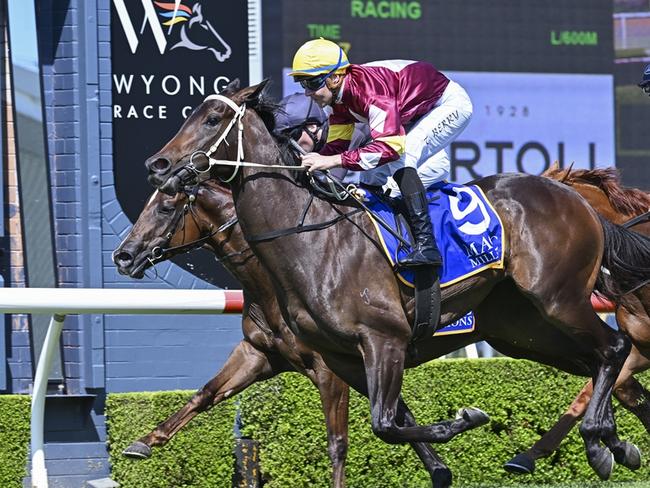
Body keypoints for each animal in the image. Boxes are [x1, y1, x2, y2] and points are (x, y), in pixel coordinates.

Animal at [142, 80, 650, 480]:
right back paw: (610, 445)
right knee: (604, 366)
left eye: (212, 119)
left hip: (558, 299)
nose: (158, 164)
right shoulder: (340, 357)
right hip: (522, 329)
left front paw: (464, 419)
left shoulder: (380, 340)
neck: (310, 239)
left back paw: (598, 441)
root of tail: (574, 198)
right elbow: (387, 422)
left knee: (614, 349)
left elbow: (381, 424)